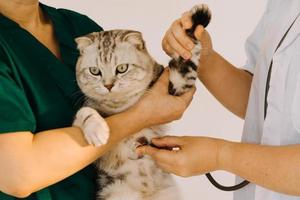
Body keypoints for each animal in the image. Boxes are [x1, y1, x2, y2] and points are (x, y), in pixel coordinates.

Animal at [73, 4, 211, 200]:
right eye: (94, 71)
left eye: (122, 68)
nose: (108, 85)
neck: (121, 105)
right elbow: (83, 113)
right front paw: (98, 131)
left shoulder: (178, 85)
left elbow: (186, 57)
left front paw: (197, 17)